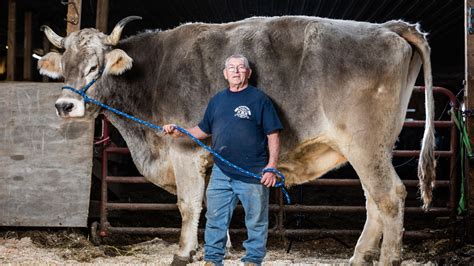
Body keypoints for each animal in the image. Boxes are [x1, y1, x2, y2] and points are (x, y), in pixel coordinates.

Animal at [39, 15, 436, 264]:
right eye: (65, 67)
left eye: (95, 67)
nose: (64, 105)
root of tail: (387, 28)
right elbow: (213, 204)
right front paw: (217, 248)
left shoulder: (184, 149)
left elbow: (188, 204)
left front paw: (183, 253)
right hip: (372, 149)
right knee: (373, 201)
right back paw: (359, 256)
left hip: (365, 146)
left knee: (390, 197)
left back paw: (388, 259)